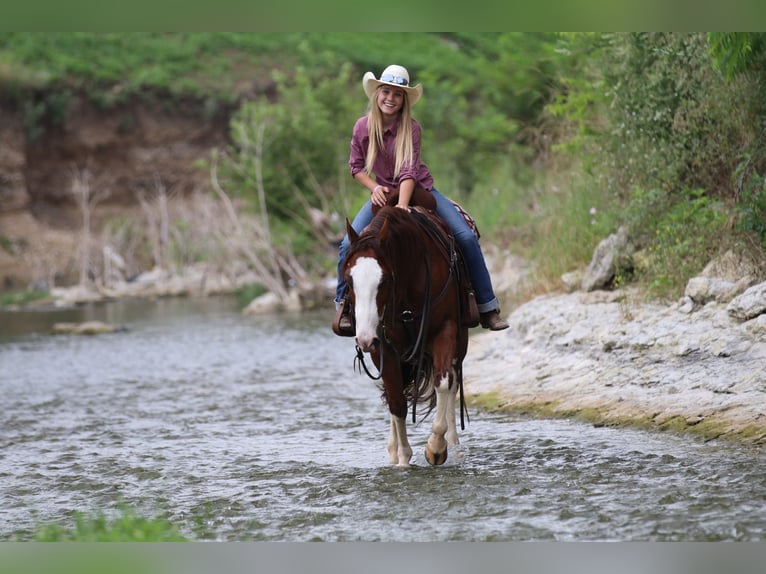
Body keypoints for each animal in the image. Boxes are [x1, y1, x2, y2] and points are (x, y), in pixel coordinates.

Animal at [340, 206, 474, 468]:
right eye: (348, 279)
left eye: (384, 280)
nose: (364, 339)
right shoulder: (382, 347)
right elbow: (397, 402)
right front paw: (402, 458)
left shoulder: (446, 330)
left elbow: (443, 383)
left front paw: (436, 447)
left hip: (459, 344)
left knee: (453, 382)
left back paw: (453, 445)